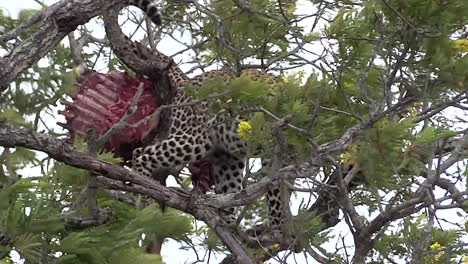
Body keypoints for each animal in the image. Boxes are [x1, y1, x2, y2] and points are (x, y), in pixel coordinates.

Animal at [126, 0, 286, 227]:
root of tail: (188, 81)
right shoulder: (272, 148)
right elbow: (275, 189)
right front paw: (279, 224)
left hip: (226, 155)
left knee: (228, 189)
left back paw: (229, 222)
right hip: (192, 138)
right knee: (141, 153)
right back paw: (145, 190)